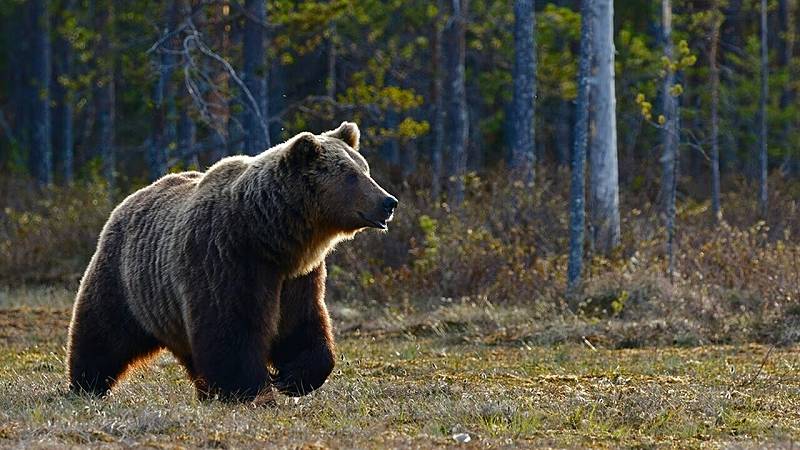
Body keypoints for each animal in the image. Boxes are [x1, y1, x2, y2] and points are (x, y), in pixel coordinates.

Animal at [66, 122, 397, 402]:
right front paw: (250, 390)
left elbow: (302, 324)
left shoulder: (297, 277)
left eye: (365, 169)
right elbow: (231, 328)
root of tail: (128, 199)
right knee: (103, 332)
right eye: (351, 175)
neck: (270, 237)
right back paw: (86, 384)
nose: (388, 202)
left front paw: (292, 378)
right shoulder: (226, 259)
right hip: (126, 280)